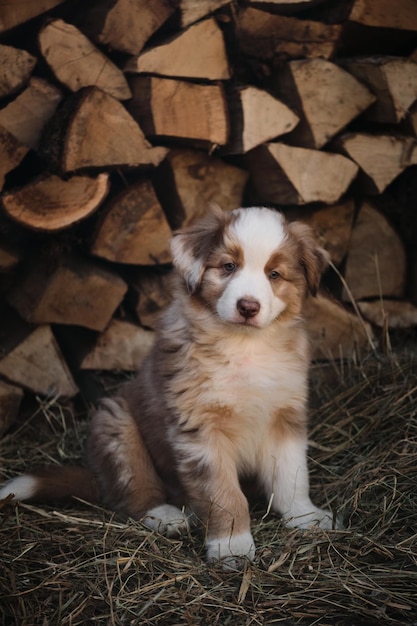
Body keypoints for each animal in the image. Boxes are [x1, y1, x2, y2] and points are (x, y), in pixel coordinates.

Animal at [0, 207, 338, 568]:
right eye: (228, 267)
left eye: (274, 274)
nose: (248, 307)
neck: (244, 345)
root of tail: (98, 477)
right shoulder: (201, 430)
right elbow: (224, 493)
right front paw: (231, 546)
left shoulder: (285, 415)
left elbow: (293, 476)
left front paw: (306, 517)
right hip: (118, 427)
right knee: (134, 494)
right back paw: (167, 516)